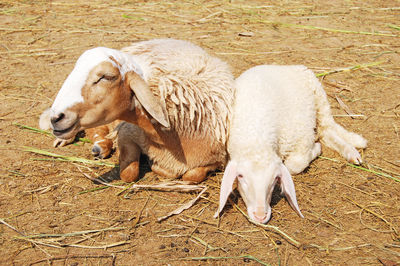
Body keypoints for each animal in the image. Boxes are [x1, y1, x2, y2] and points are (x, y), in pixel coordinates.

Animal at [46, 39, 234, 183]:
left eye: (106, 77)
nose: (55, 118)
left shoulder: (219, 160)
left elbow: (192, 176)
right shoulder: (127, 133)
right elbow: (129, 173)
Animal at [214, 65, 368, 223]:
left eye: (275, 179)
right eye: (240, 176)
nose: (260, 216)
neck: (256, 135)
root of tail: (285, 66)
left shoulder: (304, 137)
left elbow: (294, 164)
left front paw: (317, 149)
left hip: (319, 97)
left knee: (328, 127)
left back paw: (354, 148)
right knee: (326, 133)